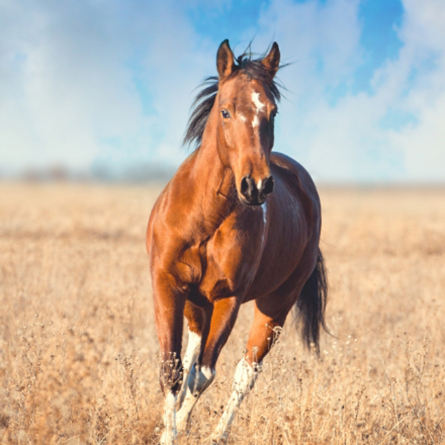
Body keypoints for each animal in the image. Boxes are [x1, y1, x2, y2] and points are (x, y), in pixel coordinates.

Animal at [146, 40, 326, 442]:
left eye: (273, 112)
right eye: (225, 111)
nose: (256, 185)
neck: (204, 219)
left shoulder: (228, 299)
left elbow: (203, 376)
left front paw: (179, 429)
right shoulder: (168, 285)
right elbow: (173, 370)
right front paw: (168, 430)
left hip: (275, 306)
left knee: (245, 373)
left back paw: (216, 434)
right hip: (196, 304)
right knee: (193, 356)